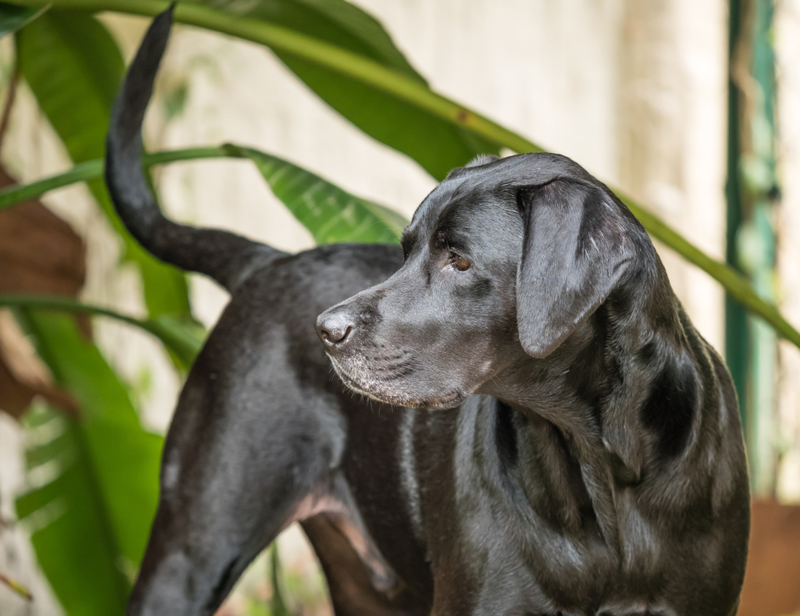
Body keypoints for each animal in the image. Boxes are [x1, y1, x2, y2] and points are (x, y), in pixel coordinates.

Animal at [108, 10, 752, 616]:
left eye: (459, 261)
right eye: (406, 249)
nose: (326, 331)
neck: (598, 463)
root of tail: (268, 261)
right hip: (192, 549)